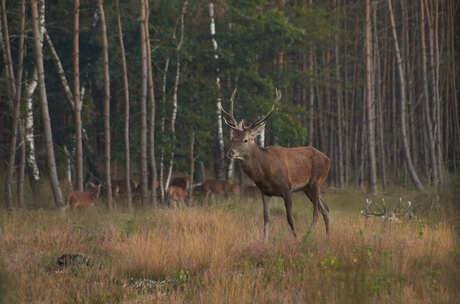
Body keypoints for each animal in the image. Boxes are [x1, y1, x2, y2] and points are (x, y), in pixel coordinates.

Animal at [220, 89, 330, 241]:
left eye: (245, 140)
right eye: (232, 138)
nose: (230, 152)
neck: (265, 172)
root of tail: (328, 159)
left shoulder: (287, 188)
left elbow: (289, 218)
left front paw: (296, 239)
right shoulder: (265, 192)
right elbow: (266, 218)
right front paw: (264, 241)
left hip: (317, 181)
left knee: (316, 211)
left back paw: (307, 236)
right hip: (307, 187)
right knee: (325, 209)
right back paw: (328, 237)